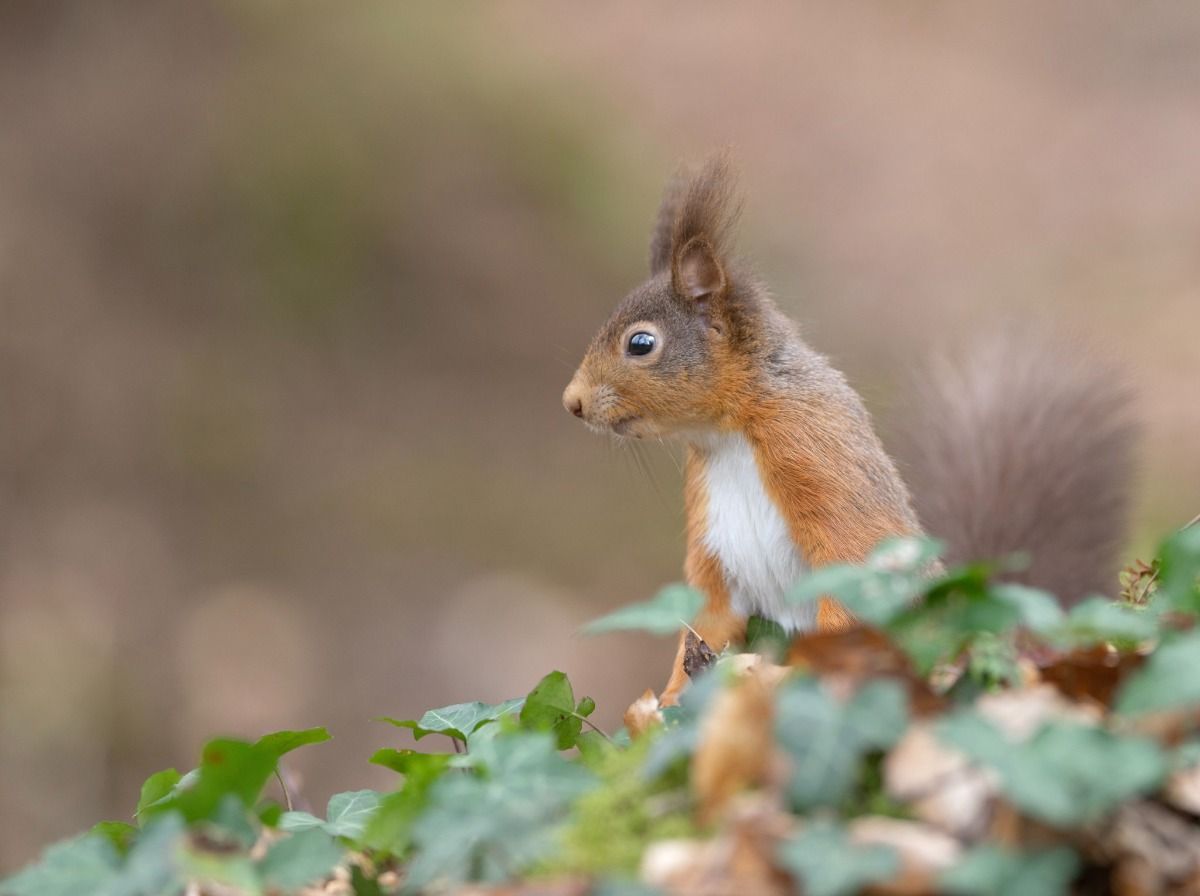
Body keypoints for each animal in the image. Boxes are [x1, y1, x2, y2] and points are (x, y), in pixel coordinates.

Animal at [561, 155, 1132, 710]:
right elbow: (707, 619)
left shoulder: (814, 455)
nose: (572, 402)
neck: (731, 434)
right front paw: (671, 700)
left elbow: (850, 580)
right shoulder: (711, 544)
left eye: (640, 343)